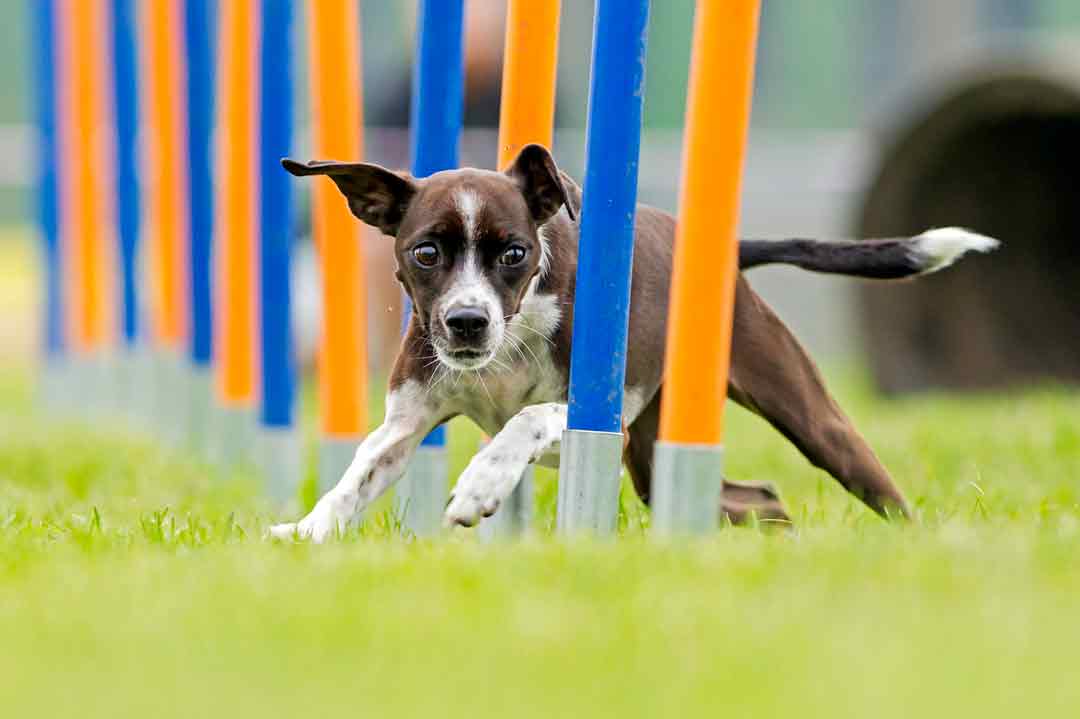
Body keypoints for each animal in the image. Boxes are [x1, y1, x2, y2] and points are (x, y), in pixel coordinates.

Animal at [267, 144, 993, 537]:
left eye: (514, 252)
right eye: (425, 252)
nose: (467, 321)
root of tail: (727, 253)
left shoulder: (595, 429)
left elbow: (525, 419)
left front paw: (480, 484)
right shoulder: (406, 421)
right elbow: (357, 475)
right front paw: (307, 531)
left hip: (805, 413)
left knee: (876, 487)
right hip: (652, 455)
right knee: (758, 498)